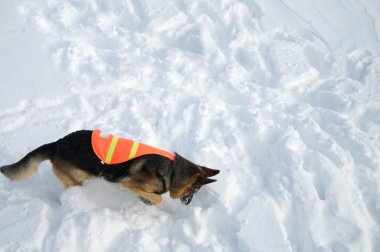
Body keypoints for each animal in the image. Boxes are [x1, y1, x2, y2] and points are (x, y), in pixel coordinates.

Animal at [0, 130, 220, 205]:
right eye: (194, 191)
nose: (188, 204)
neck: (172, 170)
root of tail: (56, 144)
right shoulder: (127, 184)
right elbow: (157, 199)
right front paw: (149, 200)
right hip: (81, 177)